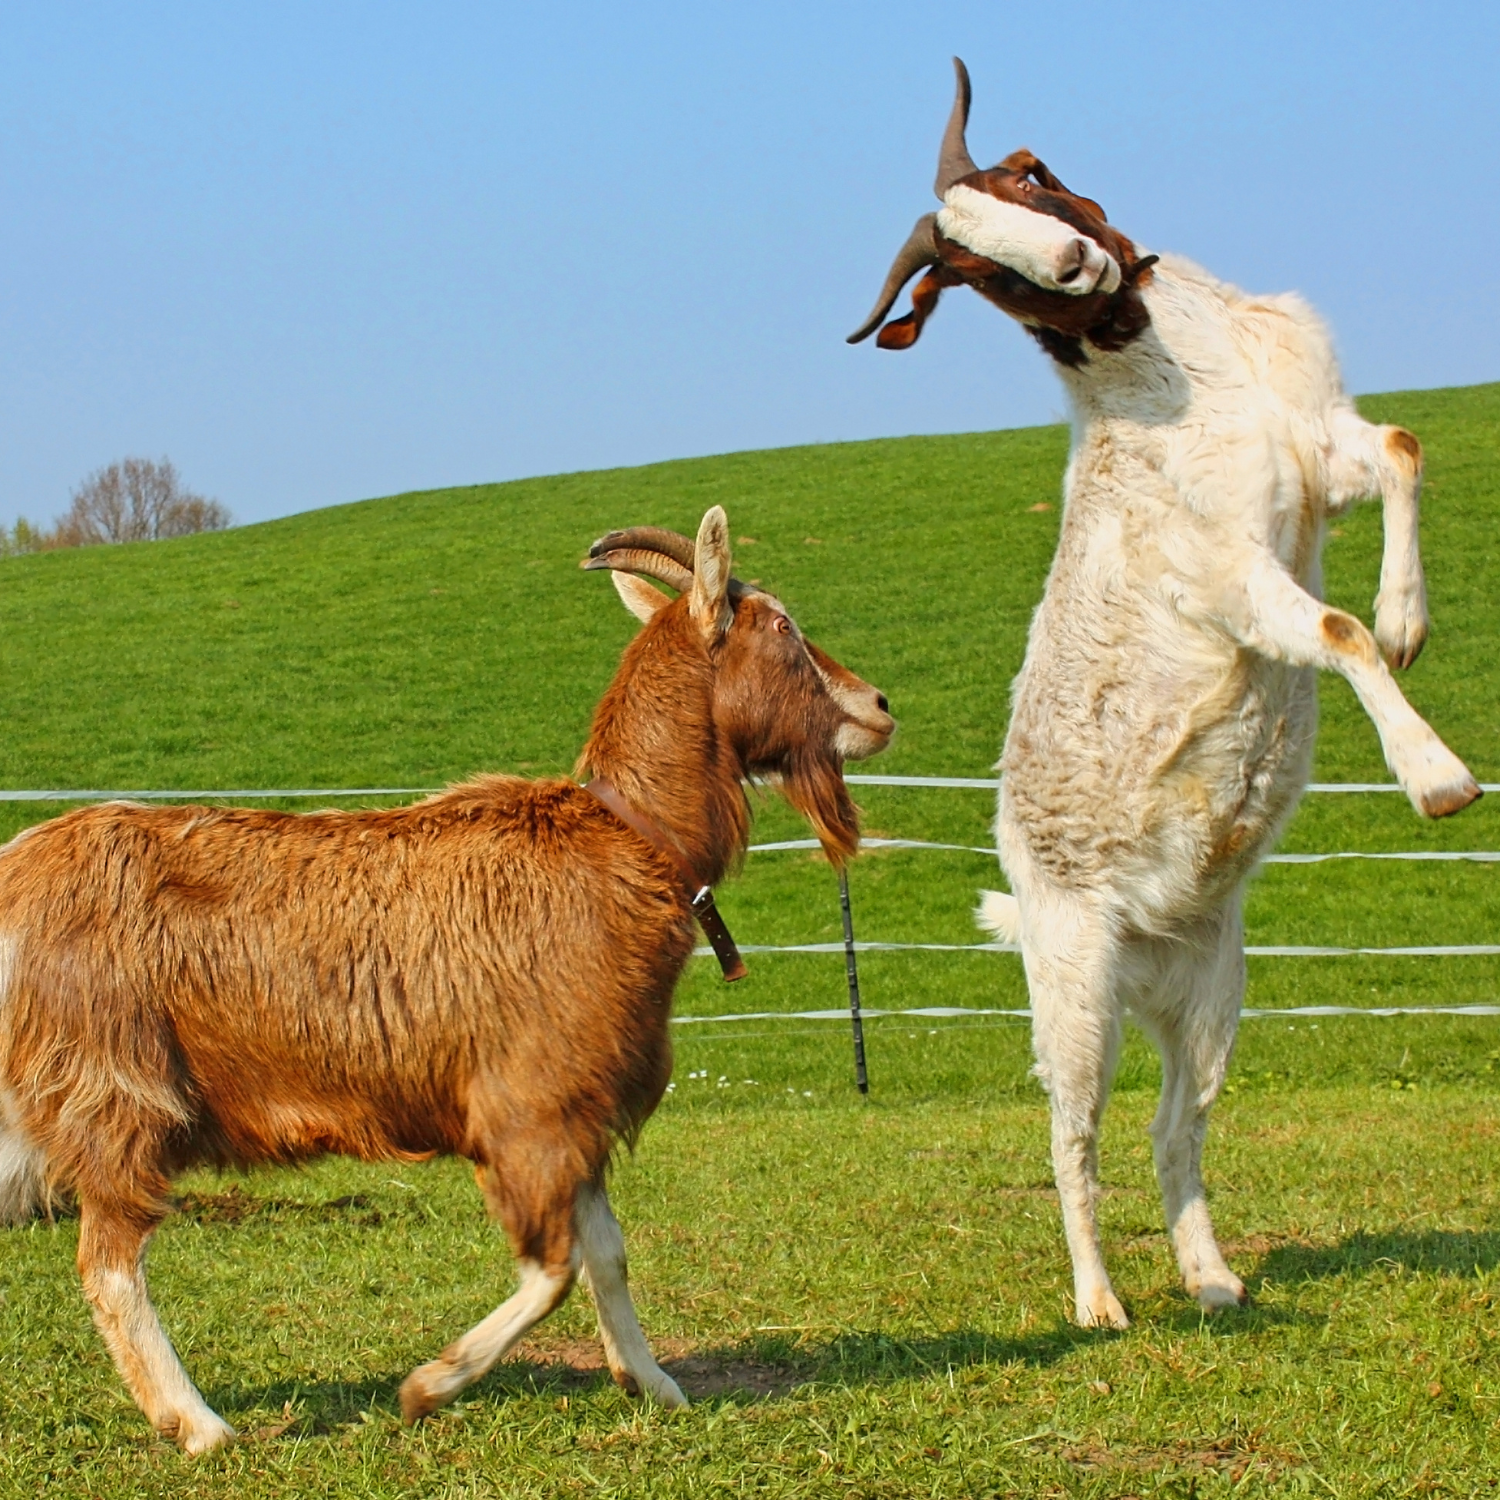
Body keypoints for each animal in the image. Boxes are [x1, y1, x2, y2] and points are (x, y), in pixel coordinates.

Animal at [0, 506, 894, 1452]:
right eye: (783, 626)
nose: (879, 707)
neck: (628, 840)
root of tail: (14, 878)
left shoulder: (580, 1102)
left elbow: (606, 1254)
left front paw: (653, 1383)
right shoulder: (528, 1103)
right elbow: (553, 1270)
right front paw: (430, 1385)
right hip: (115, 1091)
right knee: (109, 1263)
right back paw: (202, 1424)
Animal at [850, 60, 1478, 1330]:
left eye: (1026, 178)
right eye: (972, 270)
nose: (1073, 268)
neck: (1181, 369)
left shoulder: (1315, 453)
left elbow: (1399, 446)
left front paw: (1409, 618)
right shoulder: (1223, 572)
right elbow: (1329, 631)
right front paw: (1437, 779)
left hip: (1213, 986)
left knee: (1174, 1126)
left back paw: (1213, 1277)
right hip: (1073, 987)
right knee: (1073, 1135)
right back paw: (1099, 1301)